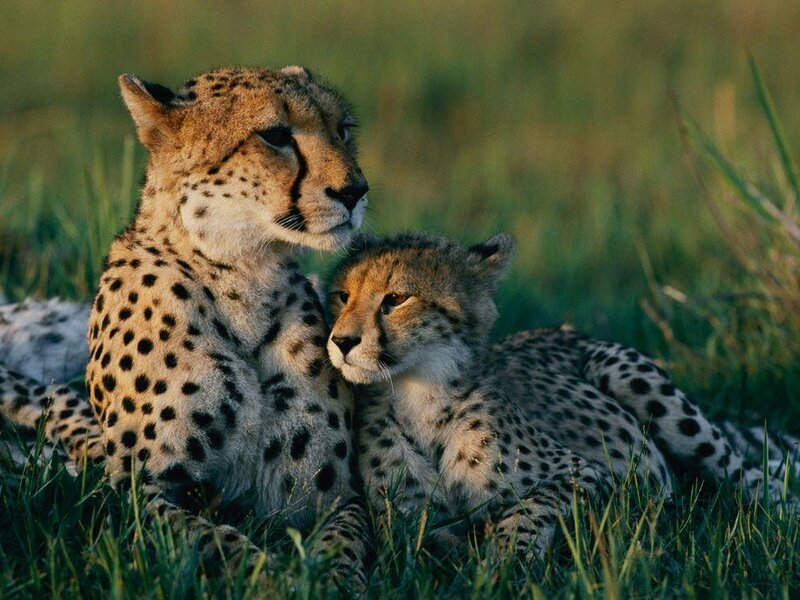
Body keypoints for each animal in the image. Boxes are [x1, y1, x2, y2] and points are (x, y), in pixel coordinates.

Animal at [0, 65, 372, 589]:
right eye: (275, 135)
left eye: (343, 130)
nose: (355, 192)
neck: (245, 276)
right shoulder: (139, 495)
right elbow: (219, 541)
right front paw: (277, 579)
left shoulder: (332, 495)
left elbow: (345, 546)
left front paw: (326, 580)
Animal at [325, 231, 800, 560]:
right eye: (342, 296)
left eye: (396, 298)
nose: (342, 341)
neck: (416, 393)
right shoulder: (406, 525)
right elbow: (427, 541)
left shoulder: (598, 479)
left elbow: (528, 510)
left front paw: (503, 562)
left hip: (635, 381)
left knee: (754, 477)